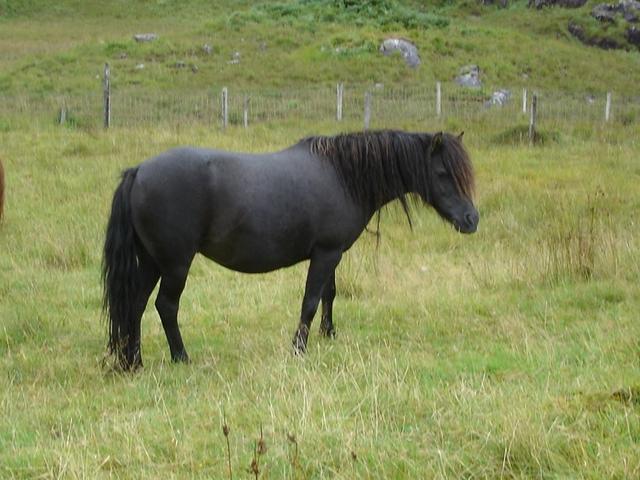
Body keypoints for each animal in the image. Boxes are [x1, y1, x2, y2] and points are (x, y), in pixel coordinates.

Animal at [102, 130, 479, 370]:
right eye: (442, 173)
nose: (472, 219)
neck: (343, 176)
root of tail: (139, 171)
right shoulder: (326, 253)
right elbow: (310, 301)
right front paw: (299, 348)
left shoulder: (332, 254)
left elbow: (329, 294)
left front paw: (329, 335)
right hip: (176, 264)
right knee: (165, 306)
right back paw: (181, 358)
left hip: (152, 262)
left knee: (135, 306)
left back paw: (134, 361)